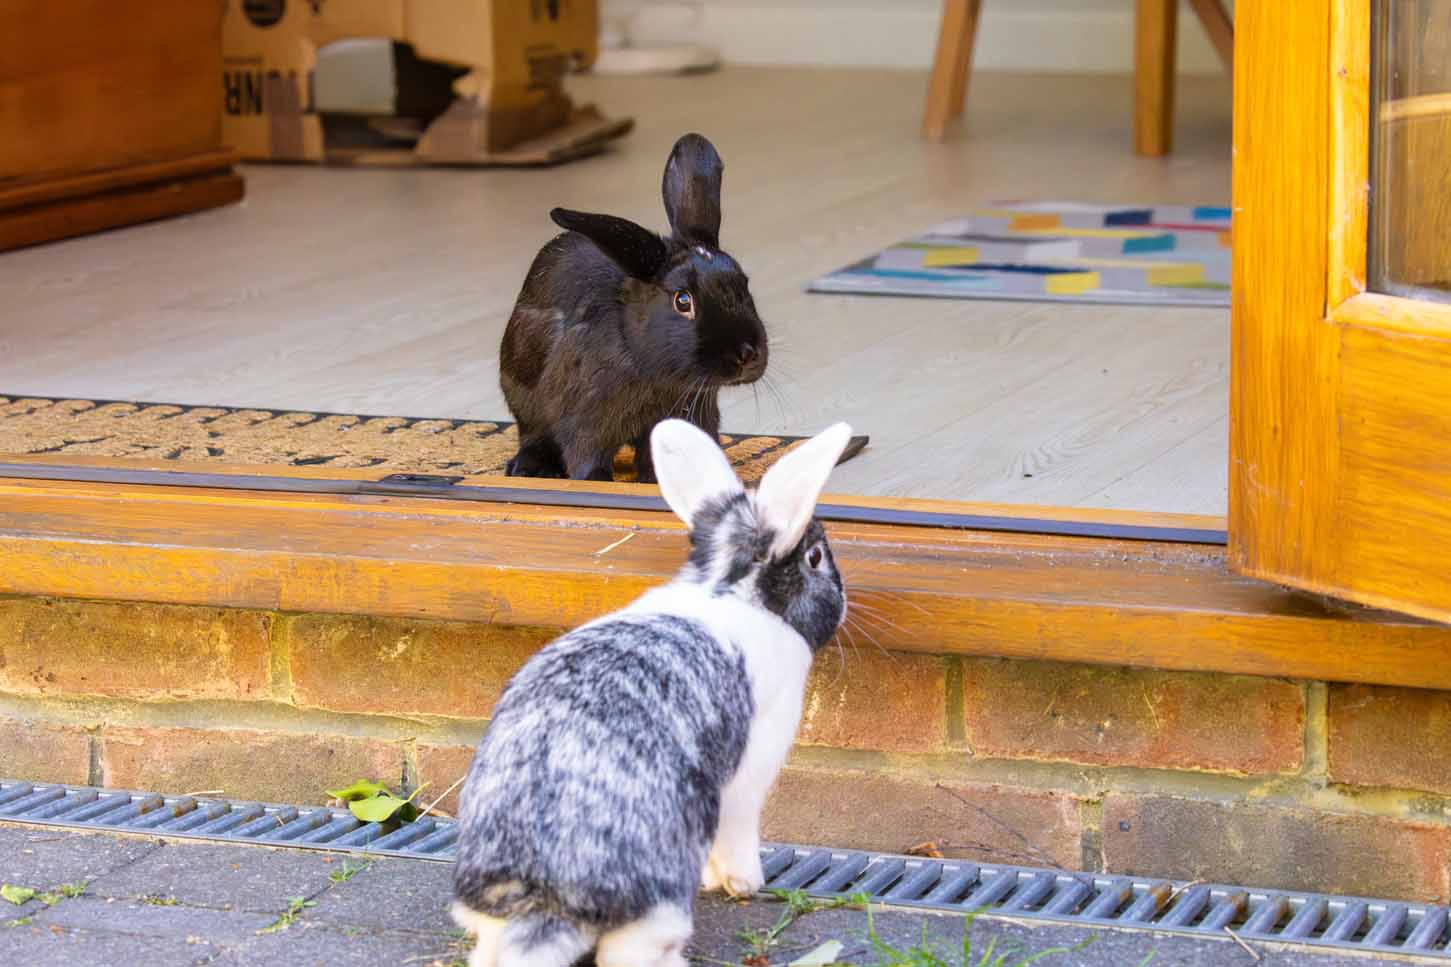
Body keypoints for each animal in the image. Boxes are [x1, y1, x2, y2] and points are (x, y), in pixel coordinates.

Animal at [452, 417, 853, 967]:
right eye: (815, 557)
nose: (845, 600)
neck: (728, 590)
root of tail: (549, 899)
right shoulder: (750, 770)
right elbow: (738, 830)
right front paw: (744, 884)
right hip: (659, 898)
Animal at [498, 133, 769, 483]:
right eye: (683, 301)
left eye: (744, 284)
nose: (747, 354)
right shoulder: (586, 420)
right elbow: (585, 453)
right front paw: (596, 481)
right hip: (521, 391)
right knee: (533, 435)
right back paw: (529, 469)